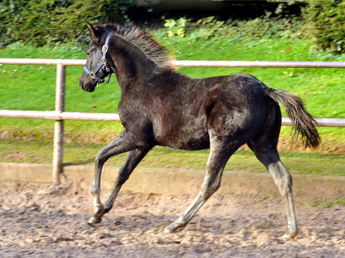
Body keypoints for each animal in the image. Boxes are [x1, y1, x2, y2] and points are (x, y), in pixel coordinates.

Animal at [79, 22, 318, 238]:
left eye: (88, 51)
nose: (83, 83)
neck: (140, 82)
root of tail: (266, 90)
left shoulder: (134, 135)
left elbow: (100, 156)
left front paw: (96, 206)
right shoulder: (144, 143)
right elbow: (122, 173)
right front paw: (99, 213)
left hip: (223, 143)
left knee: (211, 183)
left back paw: (176, 224)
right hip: (263, 146)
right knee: (283, 178)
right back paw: (291, 231)